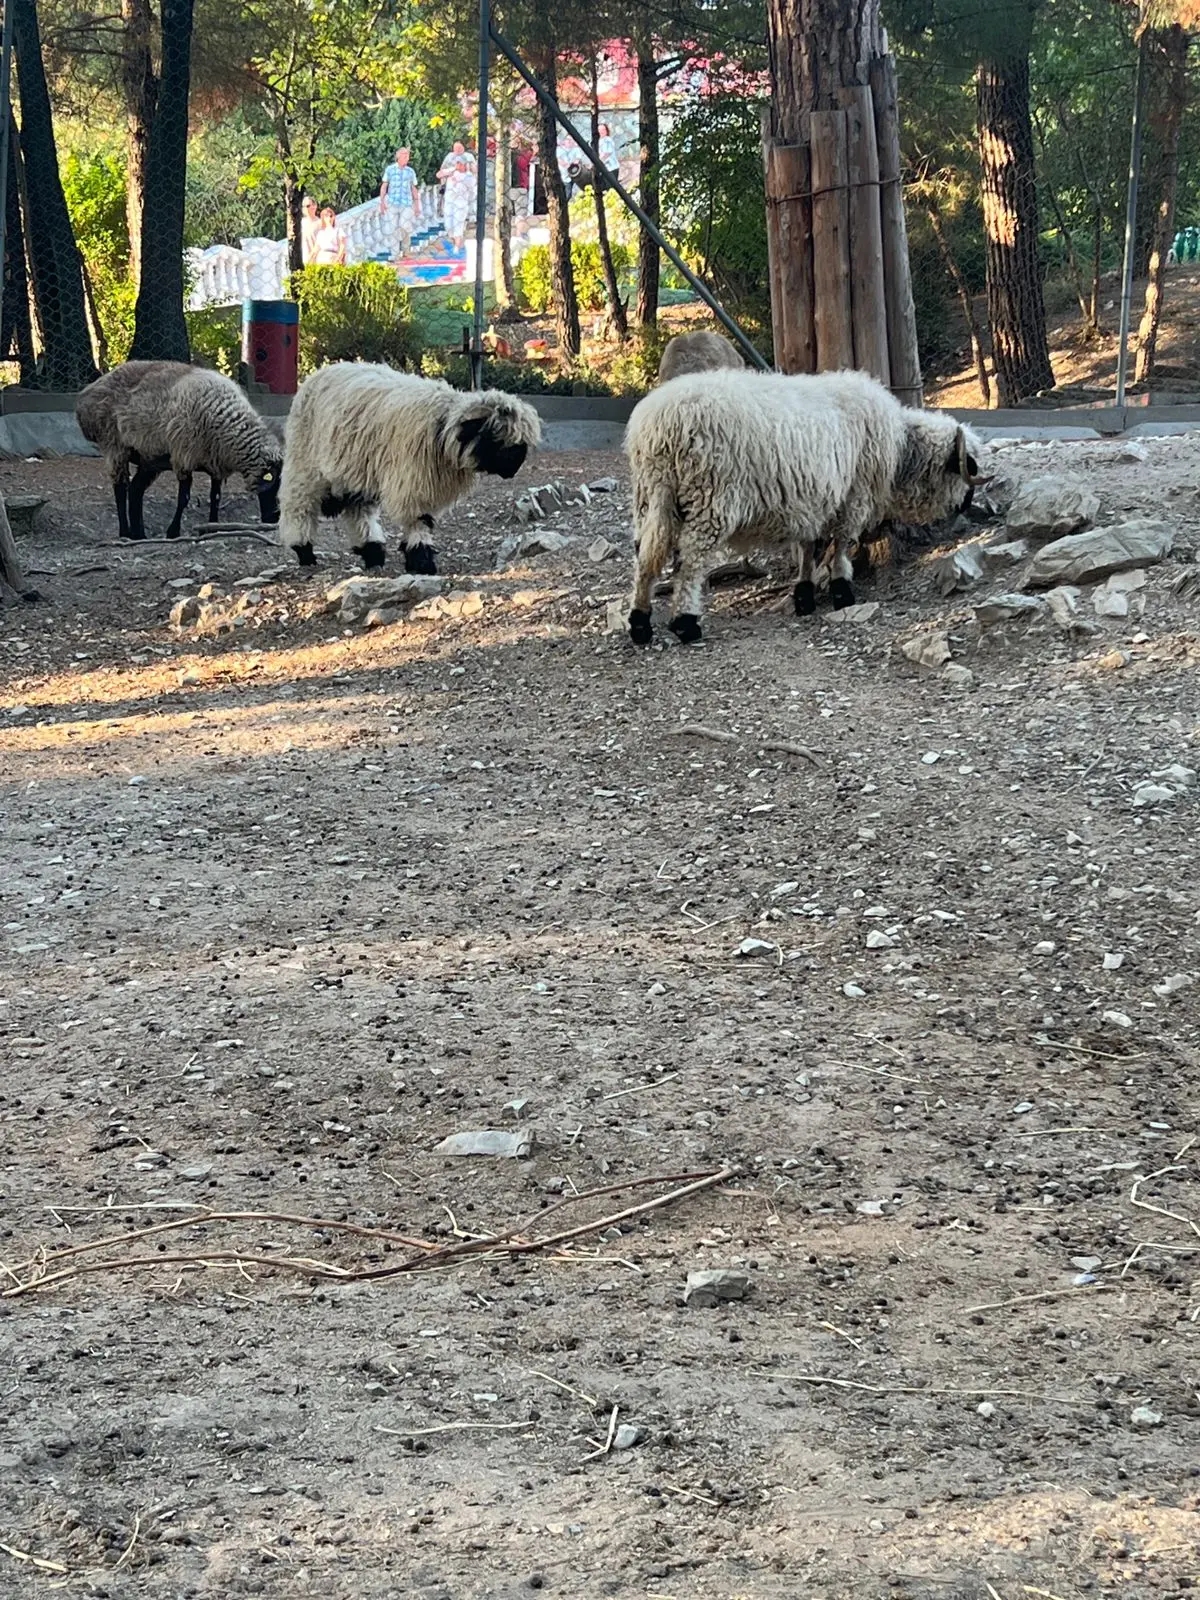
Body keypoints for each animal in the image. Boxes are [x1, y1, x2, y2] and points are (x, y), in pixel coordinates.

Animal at [77, 361, 283, 541]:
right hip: (115, 446)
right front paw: (173, 532)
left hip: (150, 460)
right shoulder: (183, 458)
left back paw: (139, 534)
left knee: (135, 490)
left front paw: (213, 527)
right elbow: (183, 498)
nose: (274, 519)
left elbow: (215, 497)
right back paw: (125, 533)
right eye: (274, 485)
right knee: (120, 489)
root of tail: (85, 397)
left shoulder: (215, 463)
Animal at [277, 363, 542, 572]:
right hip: (304, 463)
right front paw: (422, 561)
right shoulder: (412, 481)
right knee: (298, 505)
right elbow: (418, 520)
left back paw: (372, 551)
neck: (442, 428)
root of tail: (318, 373)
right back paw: (304, 550)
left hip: (356, 470)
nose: (514, 469)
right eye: (496, 438)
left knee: (358, 511)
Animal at [625, 368, 985, 645]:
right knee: (690, 563)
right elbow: (841, 543)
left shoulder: (811, 501)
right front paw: (841, 589)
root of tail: (658, 426)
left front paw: (804, 594)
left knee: (647, 559)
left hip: (653, 498)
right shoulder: (853, 496)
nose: (967, 505)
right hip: (708, 499)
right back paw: (685, 623)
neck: (900, 450)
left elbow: (809, 546)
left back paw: (640, 623)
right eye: (963, 470)